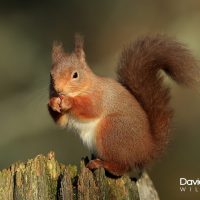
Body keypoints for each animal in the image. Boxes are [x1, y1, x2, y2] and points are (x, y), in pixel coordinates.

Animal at [47, 34, 199, 177]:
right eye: (51, 75)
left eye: (75, 75)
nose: (59, 89)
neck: (85, 88)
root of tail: (147, 149)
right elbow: (61, 121)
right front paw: (53, 103)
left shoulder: (99, 97)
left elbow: (90, 109)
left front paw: (68, 102)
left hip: (112, 129)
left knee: (122, 167)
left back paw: (102, 164)